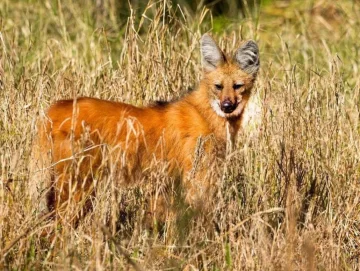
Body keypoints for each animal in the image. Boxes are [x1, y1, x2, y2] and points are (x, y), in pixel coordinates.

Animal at [30, 33, 258, 225]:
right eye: (218, 86)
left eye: (237, 86)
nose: (227, 106)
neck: (206, 115)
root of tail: (52, 109)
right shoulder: (195, 179)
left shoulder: (167, 184)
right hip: (79, 185)